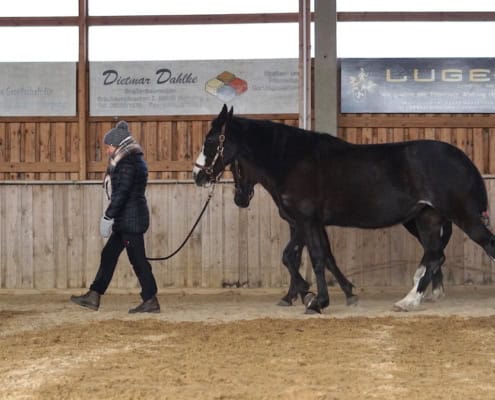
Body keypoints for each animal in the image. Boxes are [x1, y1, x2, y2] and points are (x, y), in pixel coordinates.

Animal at [194, 104, 495, 314]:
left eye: (210, 141)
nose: (198, 176)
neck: (292, 159)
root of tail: (463, 159)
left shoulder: (306, 221)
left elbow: (314, 258)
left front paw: (316, 300)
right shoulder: (305, 223)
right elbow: (303, 257)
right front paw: (313, 294)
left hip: (463, 217)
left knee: (483, 246)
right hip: (428, 219)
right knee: (435, 257)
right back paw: (408, 301)